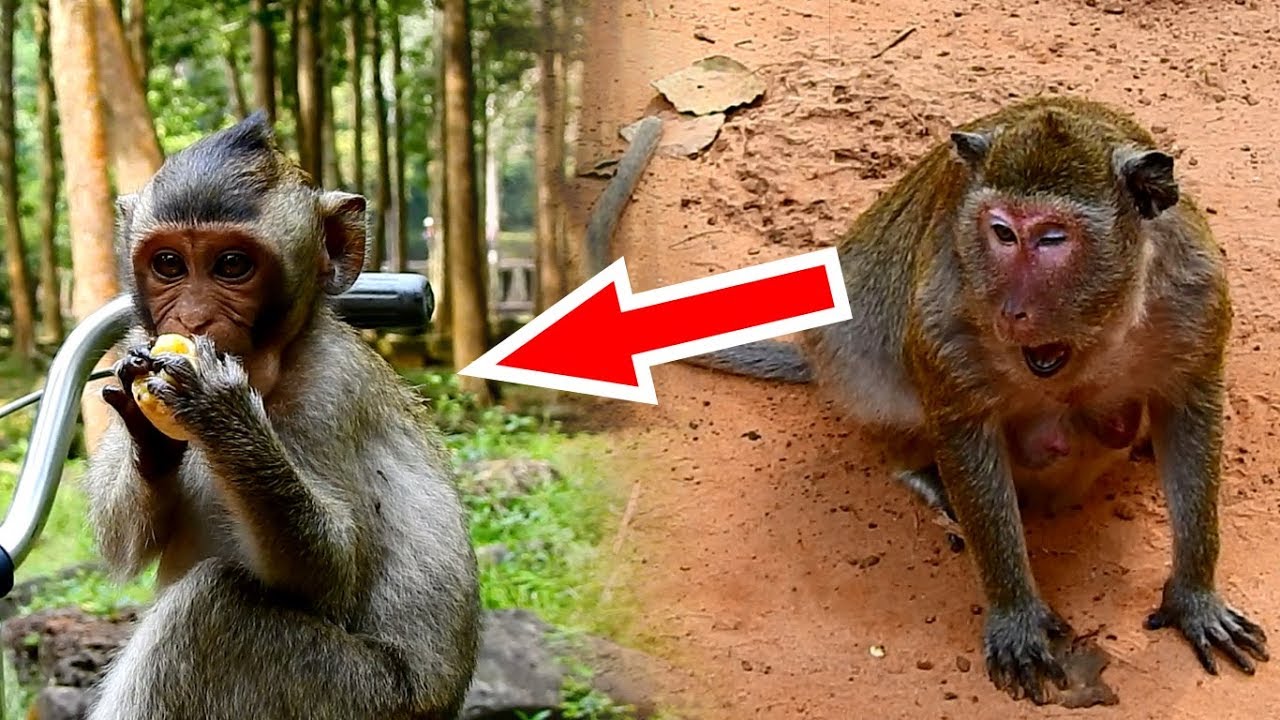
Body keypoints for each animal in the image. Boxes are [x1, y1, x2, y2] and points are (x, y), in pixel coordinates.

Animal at [79, 111, 480, 719]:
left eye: (232, 265)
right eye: (169, 264)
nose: (192, 319)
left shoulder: (331, 390)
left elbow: (332, 575)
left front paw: (221, 413)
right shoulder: (133, 340)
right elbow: (123, 542)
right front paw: (149, 433)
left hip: (354, 695)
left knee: (214, 608)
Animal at [680, 96, 1269, 703]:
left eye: (1053, 239)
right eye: (1003, 233)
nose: (1011, 311)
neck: (1097, 334)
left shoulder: (1195, 295)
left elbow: (1189, 412)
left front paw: (1194, 597)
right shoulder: (950, 309)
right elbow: (964, 429)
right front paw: (1016, 616)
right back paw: (920, 471)